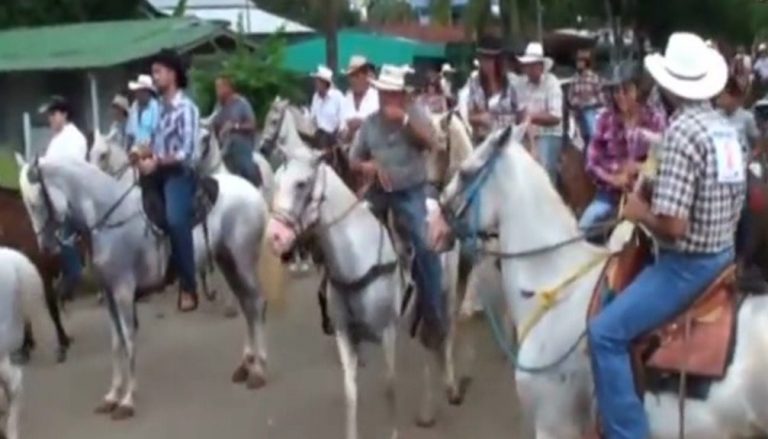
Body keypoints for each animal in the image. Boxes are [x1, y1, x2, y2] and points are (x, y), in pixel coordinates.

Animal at [16, 156, 272, 422]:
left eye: (35, 202)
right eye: (26, 204)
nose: (45, 248)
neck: (108, 219)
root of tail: (252, 191)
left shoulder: (123, 292)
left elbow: (129, 341)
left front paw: (127, 401)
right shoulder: (109, 295)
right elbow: (116, 343)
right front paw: (112, 396)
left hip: (243, 261)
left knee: (256, 303)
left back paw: (259, 370)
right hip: (227, 261)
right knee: (246, 306)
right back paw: (245, 365)